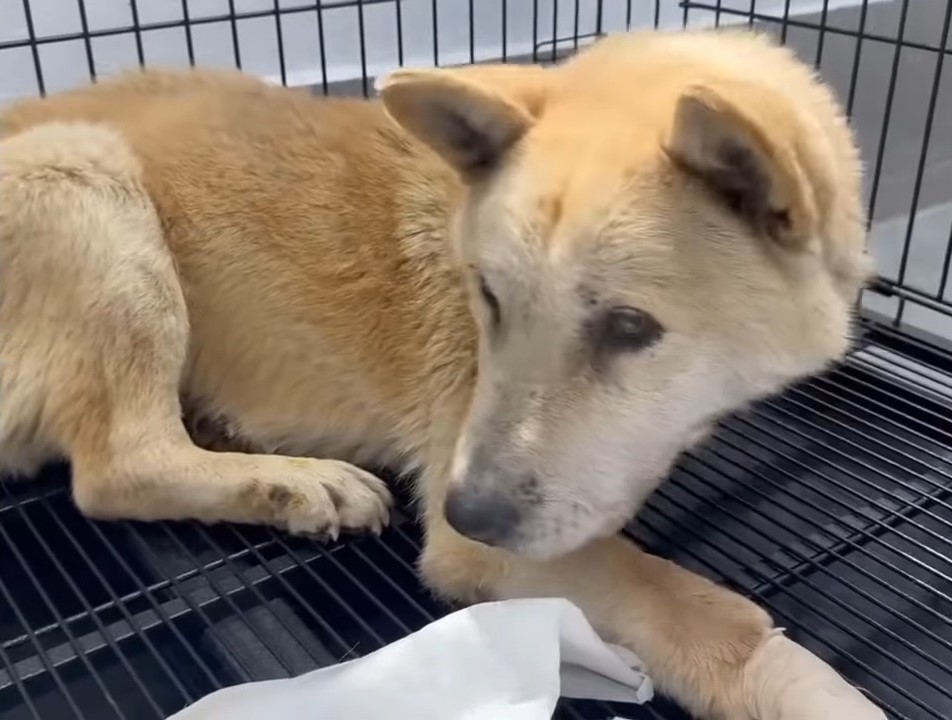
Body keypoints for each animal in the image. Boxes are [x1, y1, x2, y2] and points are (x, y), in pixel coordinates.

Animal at [0, 28, 880, 720]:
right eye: (486, 295)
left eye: (631, 328)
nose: (466, 512)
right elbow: (717, 624)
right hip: (84, 168)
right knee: (121, 467)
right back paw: (300, 483)